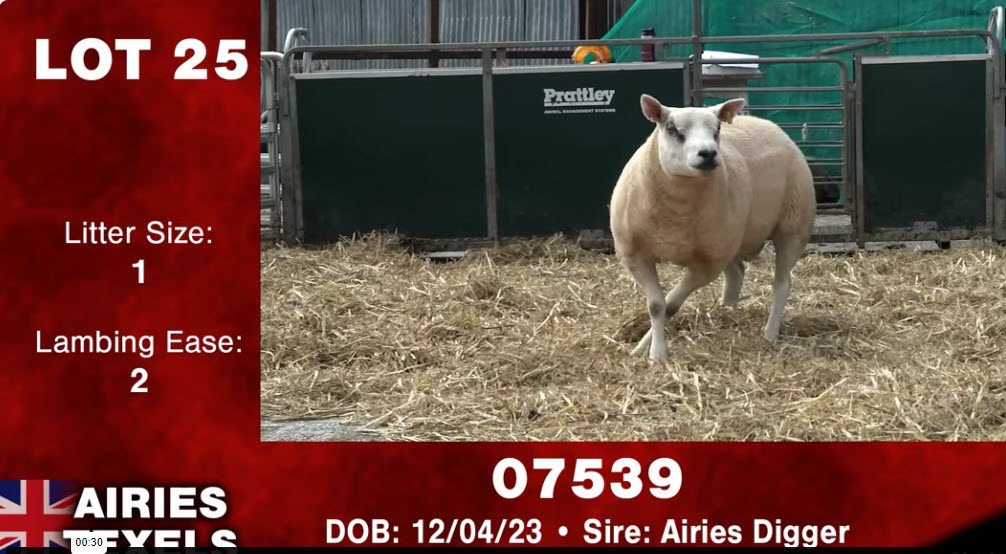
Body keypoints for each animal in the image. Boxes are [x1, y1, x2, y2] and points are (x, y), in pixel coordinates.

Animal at [608, 94, 816, 363]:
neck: (675, 216)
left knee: (781, 283)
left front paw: (654, 350)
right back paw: (726, 311)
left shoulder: (707, 265)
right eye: (672, 129)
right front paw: (650, 351)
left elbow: (671, 304)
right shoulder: (634, 255)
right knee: (737, 272)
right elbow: (656, 305)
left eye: (717, 129)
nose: (708, 153)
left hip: (792, 228)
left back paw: (770, 332)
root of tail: (765, 122)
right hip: (731, 240)